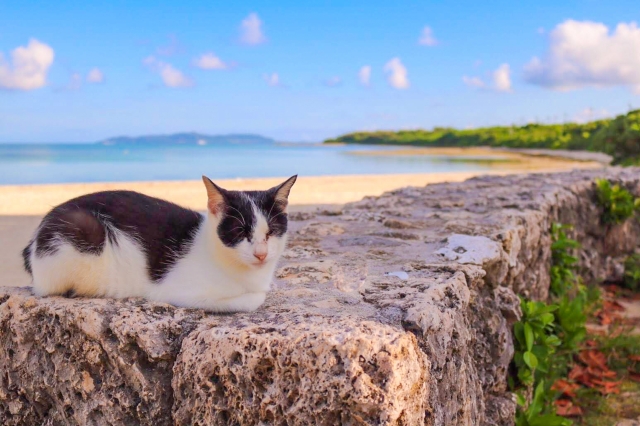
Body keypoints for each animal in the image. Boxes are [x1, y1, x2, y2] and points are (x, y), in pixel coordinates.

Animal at [21, 175, 298, 312]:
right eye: (240, 231)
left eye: (271, 232)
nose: (261, 254)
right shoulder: (178, 292)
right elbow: (253, 299)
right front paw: (258, 294)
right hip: (83, 232)